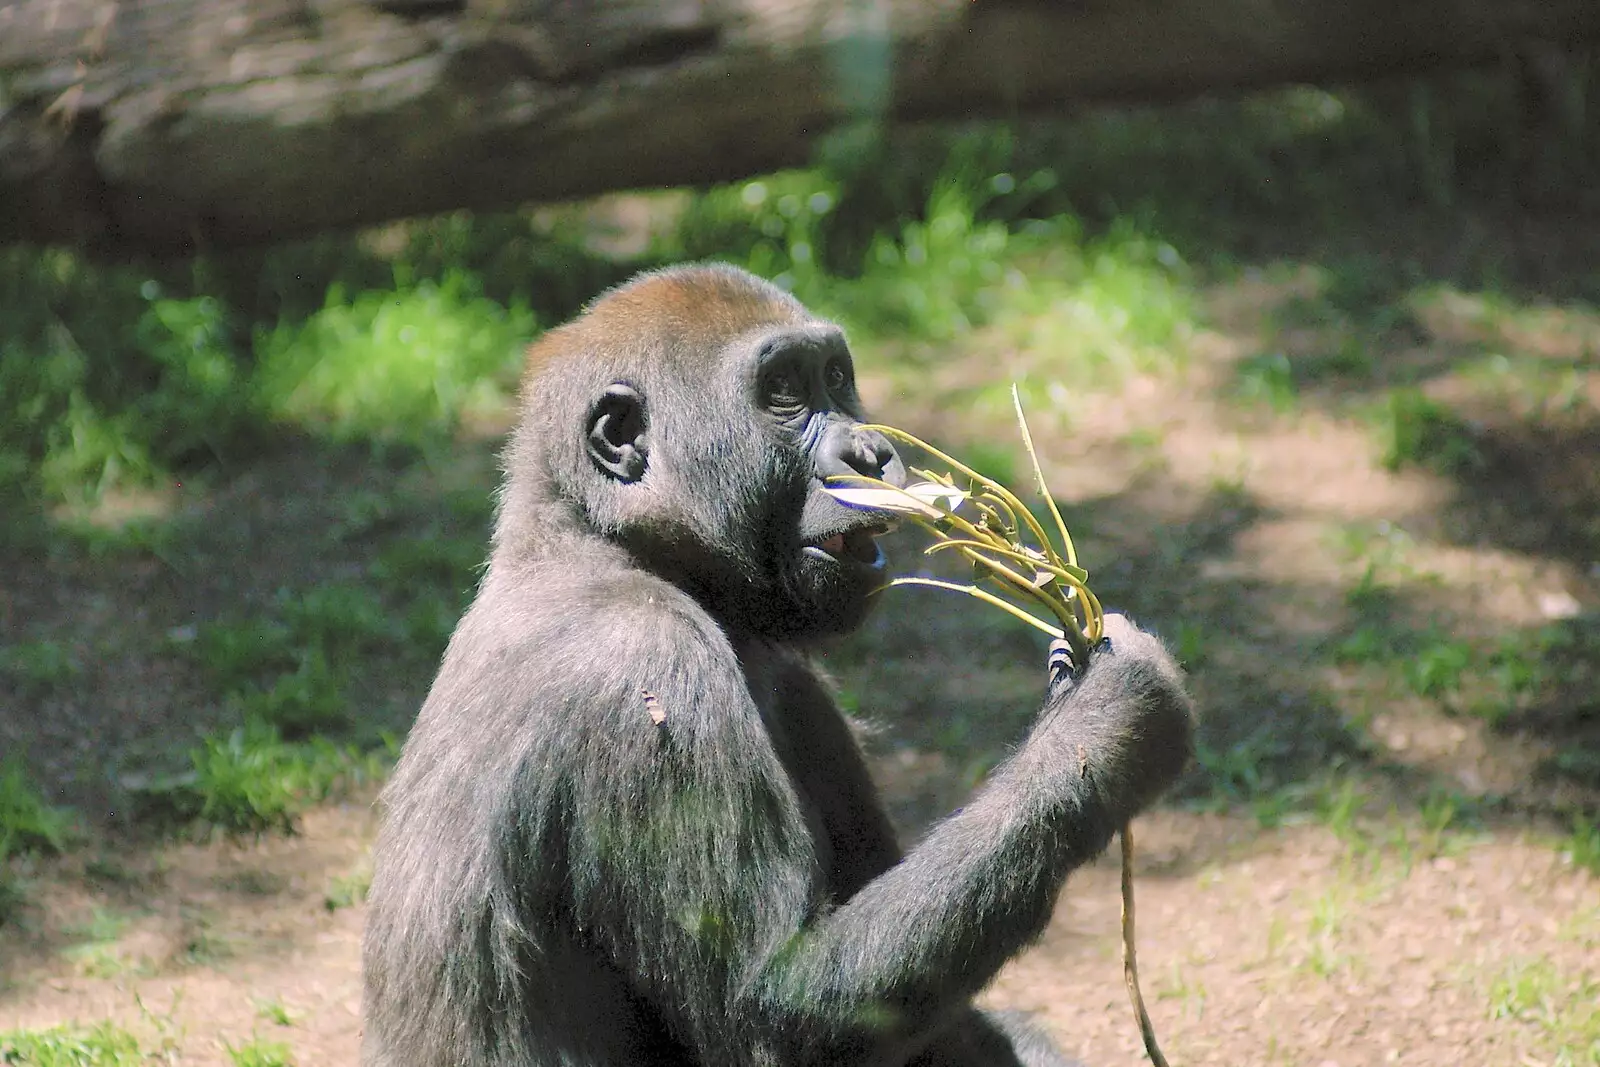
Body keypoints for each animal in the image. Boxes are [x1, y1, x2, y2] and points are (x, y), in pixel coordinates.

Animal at [360, 260, 1190, 1067]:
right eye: (785, 392)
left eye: (837, 379)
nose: (872, 454)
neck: (594, 537)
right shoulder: (645, 664)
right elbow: (773, 1012)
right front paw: (1110, 726)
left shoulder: (790, 673)